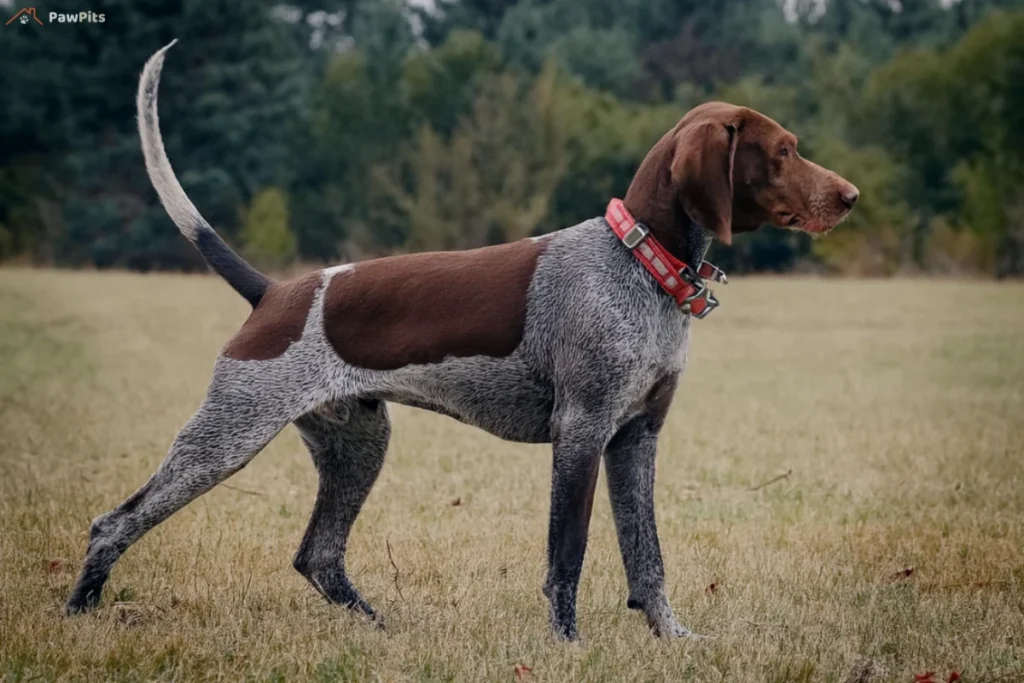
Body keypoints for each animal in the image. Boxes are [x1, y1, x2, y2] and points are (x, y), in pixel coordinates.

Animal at [66, 42, 856, 643]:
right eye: (783, 151)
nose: (850, 196)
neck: (639, 263)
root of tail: (274, 292)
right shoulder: (582, 434)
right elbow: (568, 556)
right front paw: (567, 647)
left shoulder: (637, 439)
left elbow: (648, 558)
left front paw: (673, 638)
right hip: (224, 438)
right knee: (113, 522)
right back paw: (78, 612)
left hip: (357, 444)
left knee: (318, 555)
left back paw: (381, 630)